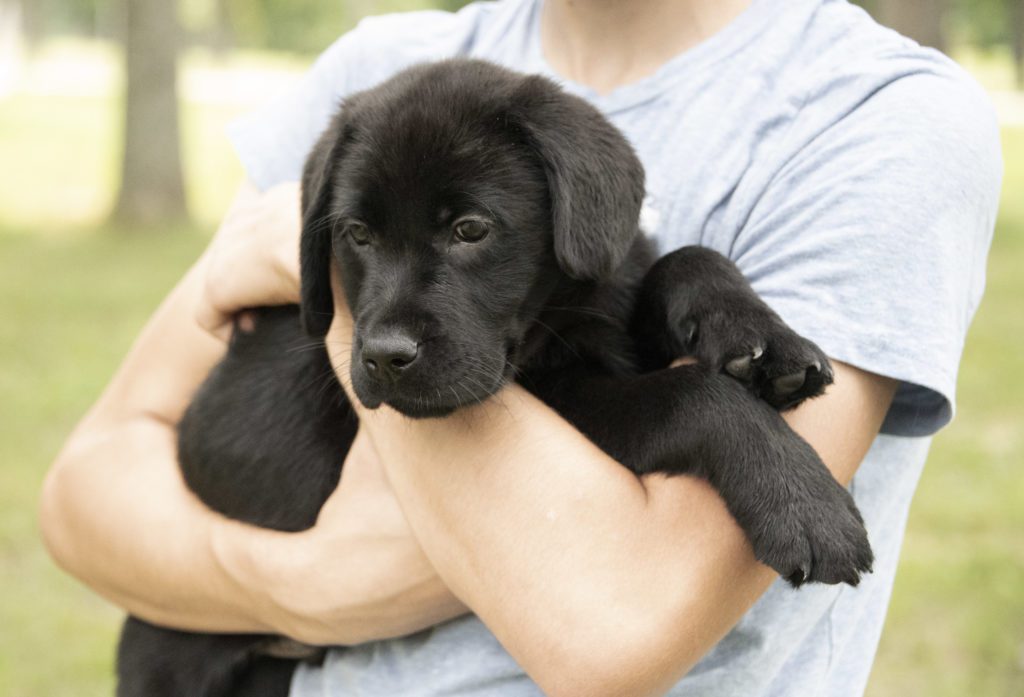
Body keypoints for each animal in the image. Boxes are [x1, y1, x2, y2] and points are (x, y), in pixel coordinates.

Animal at [117, 59, 872, 695]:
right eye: (356, 234)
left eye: (472, 229)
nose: (384, 356)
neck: (557, 315)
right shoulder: (577, 403)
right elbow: (691, 392)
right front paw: (804, 505)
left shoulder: (614, 288)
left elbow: (683, 259)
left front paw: (762, 340)